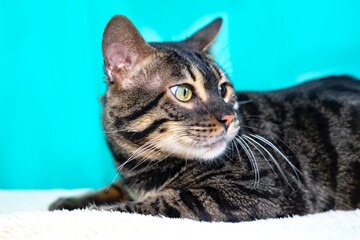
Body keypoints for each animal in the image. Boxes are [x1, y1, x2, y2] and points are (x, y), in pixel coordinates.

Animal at [48, 14, 360, 221]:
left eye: (223, 89)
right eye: (184, 92)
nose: (229, 117)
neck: (142, 169)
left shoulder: (267, 192)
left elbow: (158, 204)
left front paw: (88, 210)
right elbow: (115, 189)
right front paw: (69, 200)